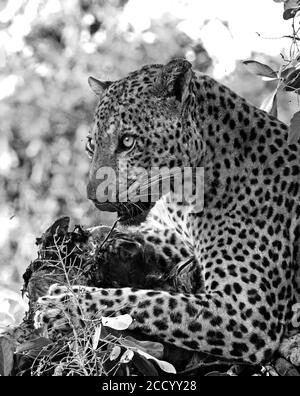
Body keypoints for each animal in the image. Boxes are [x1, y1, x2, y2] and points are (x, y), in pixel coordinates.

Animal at [35, 57, 300, 364]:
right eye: (91, 144)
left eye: (127, 142)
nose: (94, 198)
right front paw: (82, 242)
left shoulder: (246, 311)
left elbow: (145, 300)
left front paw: (64, 304)